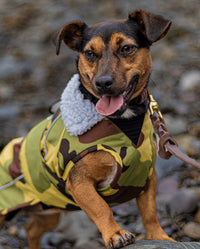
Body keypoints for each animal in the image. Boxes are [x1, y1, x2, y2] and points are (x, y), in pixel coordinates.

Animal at [0, 9, 175, 249]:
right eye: (90, 53)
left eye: (126, 48)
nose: (102, 82)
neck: (122, 121)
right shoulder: (79, 183)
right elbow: (101, 208)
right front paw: (115, 233)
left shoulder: (147, 178)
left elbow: (149, 212)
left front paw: (159, 236)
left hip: (49, 211)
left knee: (31, 228)